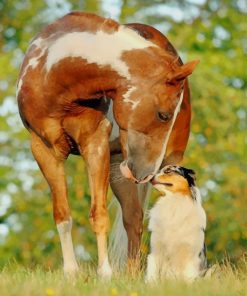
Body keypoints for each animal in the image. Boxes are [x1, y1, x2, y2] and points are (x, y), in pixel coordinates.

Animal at [16, 12, 199, 280]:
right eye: (163, 115)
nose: (146, 174)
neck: (55, 75)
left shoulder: (95, 144)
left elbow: (99, 214)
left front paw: (105, 274)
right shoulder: (44, 150)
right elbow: (62, 215)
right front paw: (71, 274)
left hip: (166, 164)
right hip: (117, 171)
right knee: (133, 219)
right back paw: (132, 275)